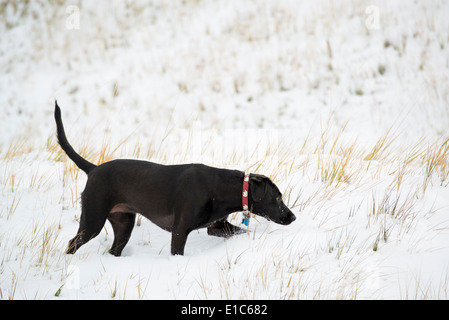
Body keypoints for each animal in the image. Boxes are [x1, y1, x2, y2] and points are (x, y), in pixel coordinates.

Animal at [54, 101, 296, 256]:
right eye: (277, 197)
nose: (292, 217)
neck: (219, 189)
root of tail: (93, 169)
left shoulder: (217, 227)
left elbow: (241, 231)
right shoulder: (179, 231)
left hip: (123, 223)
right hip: (92, 220)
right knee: (72, 243)